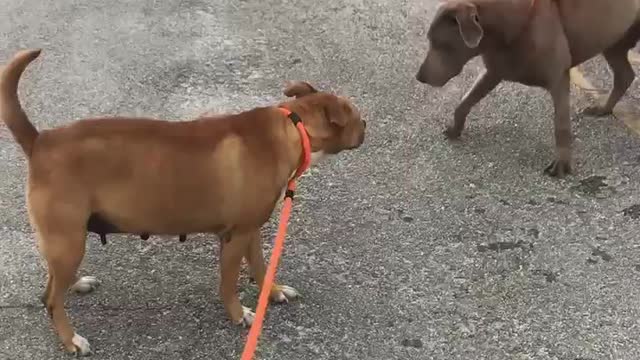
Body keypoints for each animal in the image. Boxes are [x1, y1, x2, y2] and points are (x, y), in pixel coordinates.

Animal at [0, 49, 368, 356]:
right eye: (354, 114)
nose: (366, 124)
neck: (293, 126)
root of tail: (40, 141)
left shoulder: (251, 231)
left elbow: (261, 268)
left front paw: (273, 292)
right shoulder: (236, 236)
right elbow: (228, 283)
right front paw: (239, 314)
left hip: (66, 240)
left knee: (55, 277)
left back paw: (77, 283)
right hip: (69, 238)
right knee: (50, 298)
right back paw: (71, 339)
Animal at [416, 0, 640, 177]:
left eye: (440, 43)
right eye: (429, 40)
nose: (419, 77)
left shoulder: (558, 76)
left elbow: (561, 124)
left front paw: (562, 163)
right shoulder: (495, 70)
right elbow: (466, 100)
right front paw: (455, 128)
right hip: (615, 40)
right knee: (625, 75)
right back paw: (603, 108)